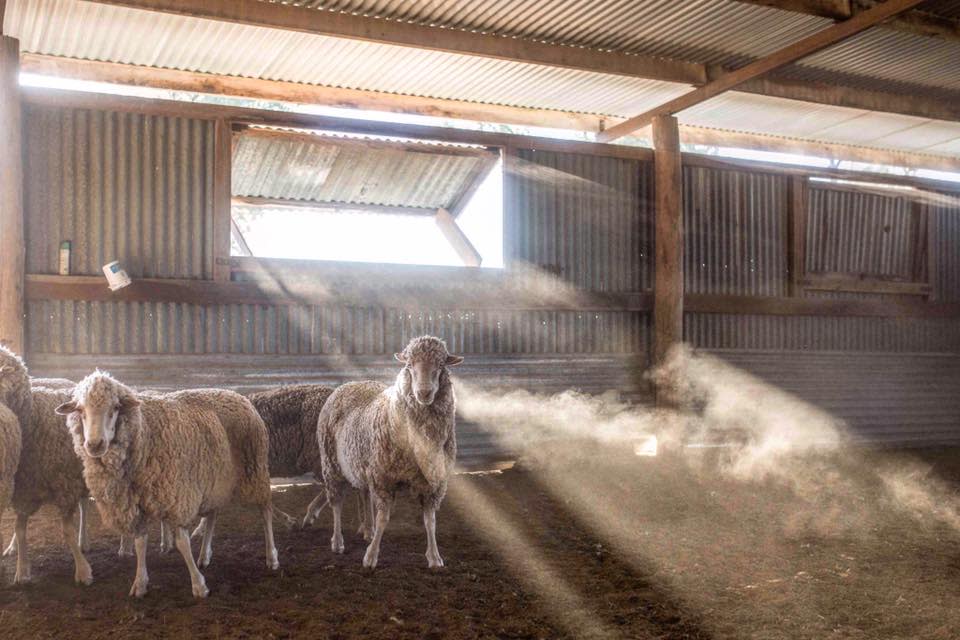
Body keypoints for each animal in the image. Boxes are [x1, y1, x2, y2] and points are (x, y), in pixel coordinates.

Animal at [58, 372, 280, 596]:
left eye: (115, 407)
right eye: (80, 410)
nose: (94, 445)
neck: (144, 434)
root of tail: (237, 396)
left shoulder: (178, 497)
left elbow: (182, 542)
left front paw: (199, 585)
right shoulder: (137, 504)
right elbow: (140, 543)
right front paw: (140, 582)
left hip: (255, 469)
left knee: (265, 511)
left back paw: (272, 557)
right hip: (216, 479)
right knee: (212, 516)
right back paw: (204, 556)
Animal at [316, 336, 464, 568]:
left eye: (441, 365)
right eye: (409, 365)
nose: (423, 393)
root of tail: (351, 383)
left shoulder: (434, 484)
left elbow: (430, 521)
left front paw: (434, 557)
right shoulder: (383, 478)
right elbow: (383, 518)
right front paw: (370, 557)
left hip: (362, 465)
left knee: (363, 493)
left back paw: (367, 531)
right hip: (331, 465)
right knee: (337, 503)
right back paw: (338, 542)